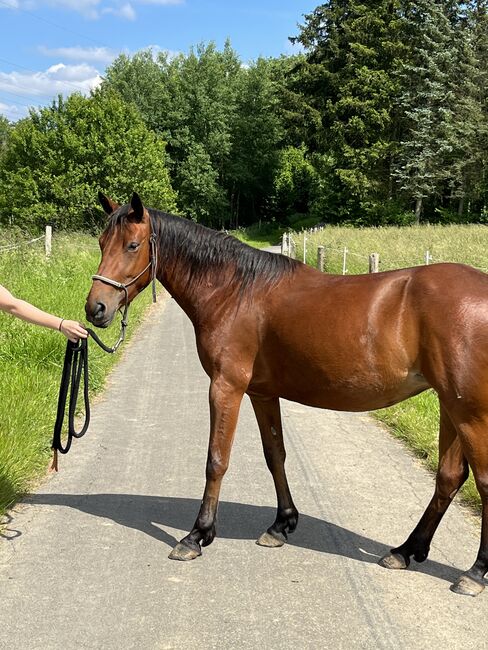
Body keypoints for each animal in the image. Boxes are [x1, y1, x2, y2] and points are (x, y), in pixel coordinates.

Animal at [86, 190, 488, 596]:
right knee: (449, 477)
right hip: (450, 406)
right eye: (102, 243)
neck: (234, 291)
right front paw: (281, 525)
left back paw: (474, 572)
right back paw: (405, 550)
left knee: (482, 481)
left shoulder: (226, 387)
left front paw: (197, 535)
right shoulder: (262, 394)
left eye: (132, 245)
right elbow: (274, 455)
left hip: (470, 413)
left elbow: (217, 460)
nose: (95, 309)